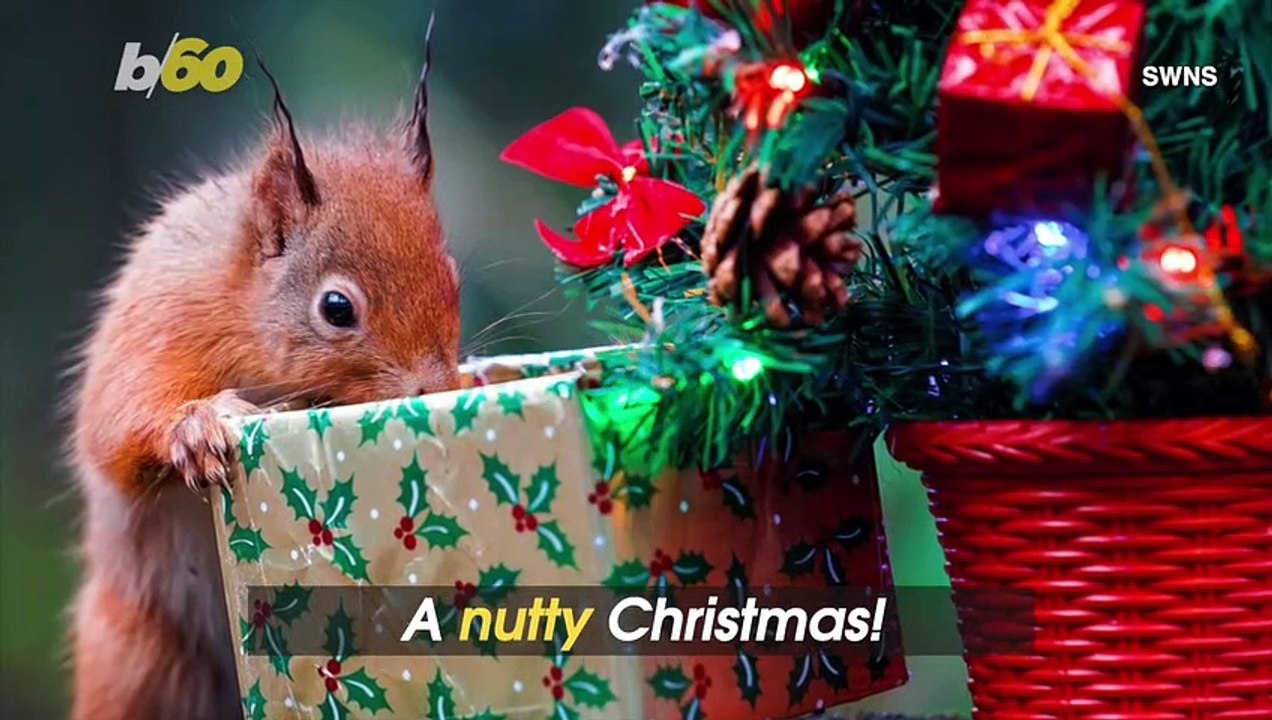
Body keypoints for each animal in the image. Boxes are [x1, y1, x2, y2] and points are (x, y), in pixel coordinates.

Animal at [68, 24, 459, 720]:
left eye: (454, 279)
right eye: (337, 309)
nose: (437, 391)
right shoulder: (159, 324)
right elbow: (116, 427)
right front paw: (200, 425)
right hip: (138, 658)